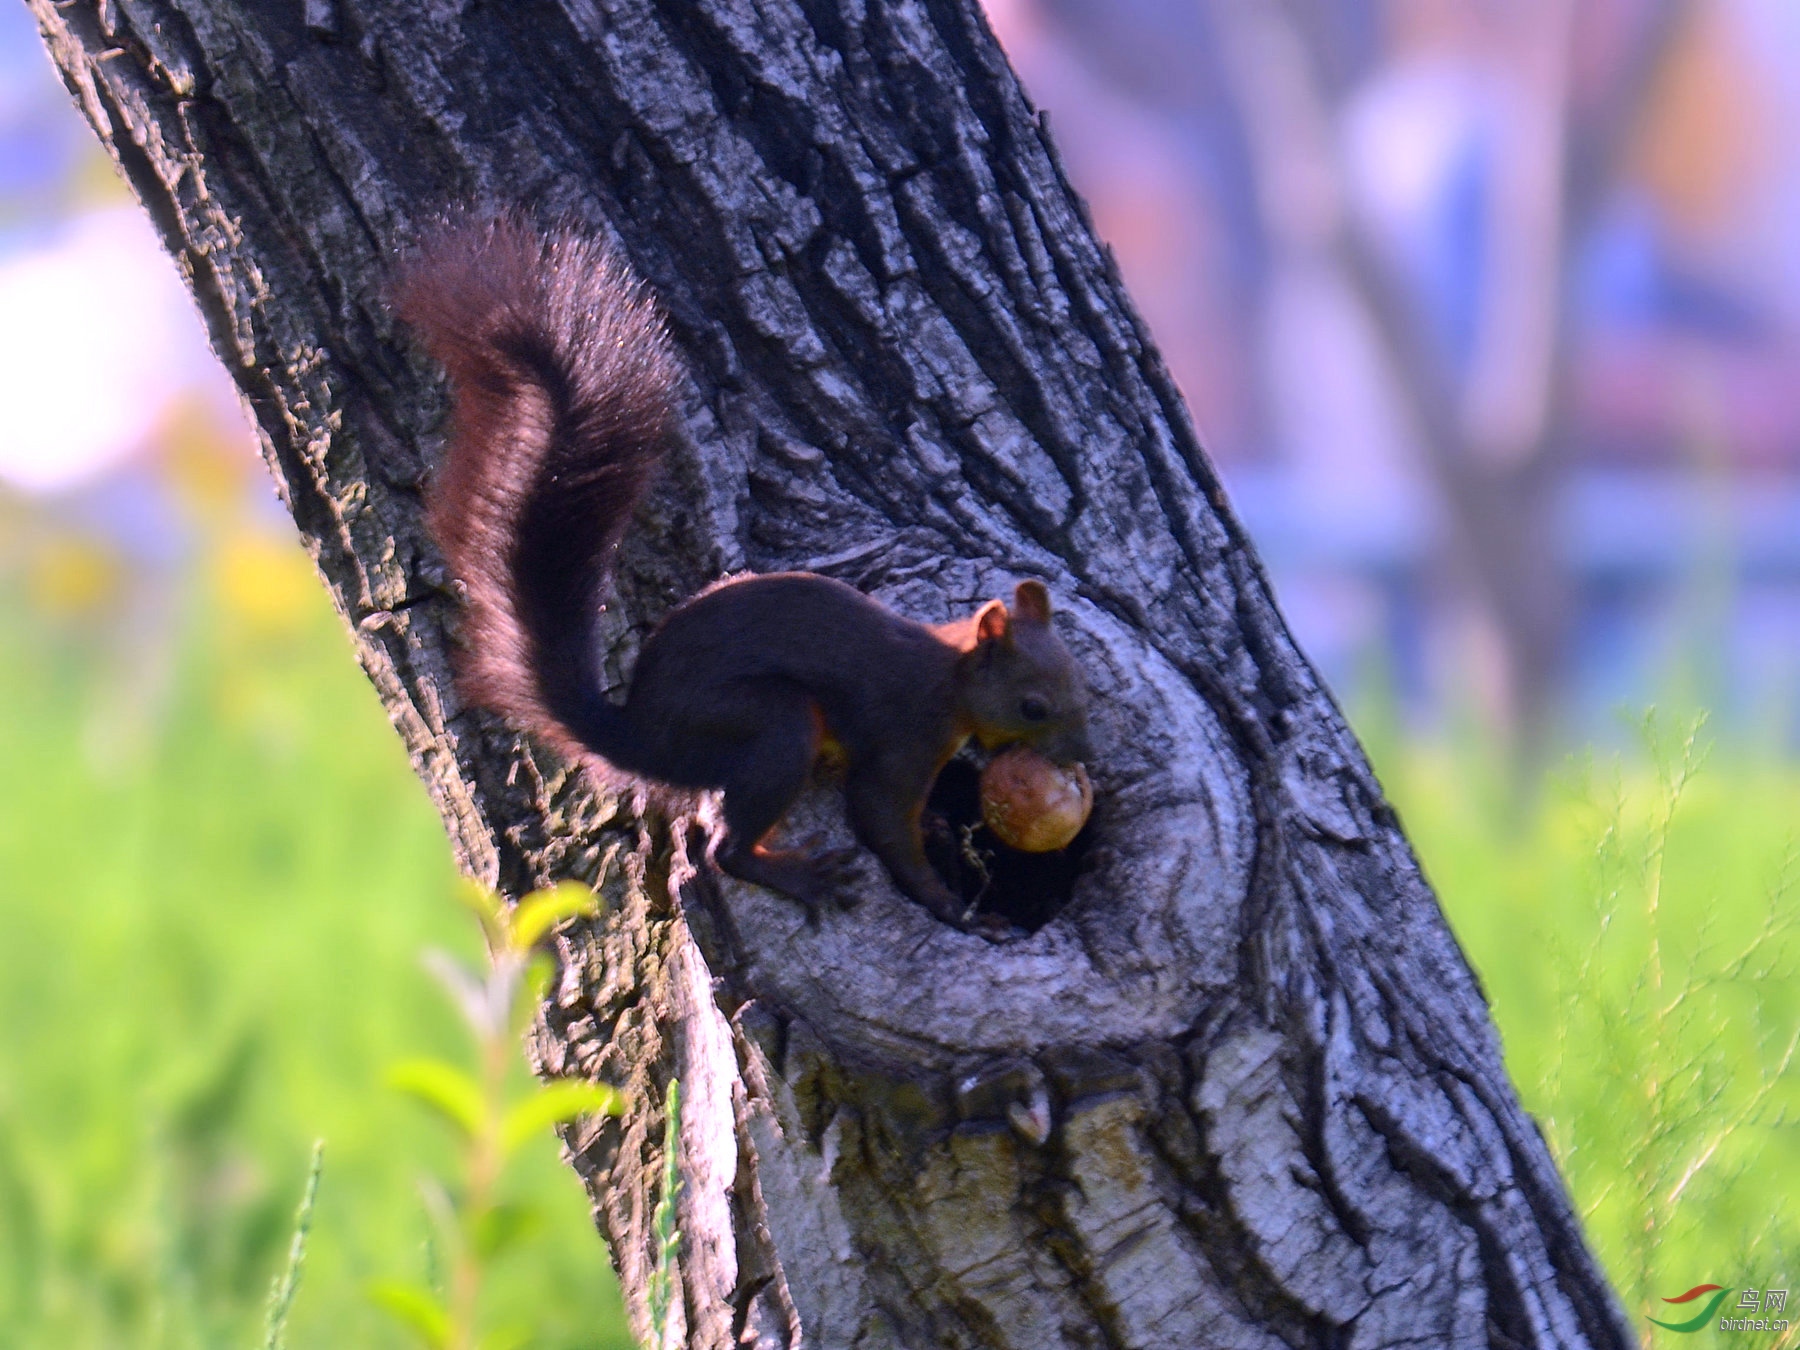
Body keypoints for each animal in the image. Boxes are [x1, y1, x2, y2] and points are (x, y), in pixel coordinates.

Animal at [399, 216, 1087, 928]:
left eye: (1082, 683)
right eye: (1033, 706)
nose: (1081, 757)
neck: (951, 675)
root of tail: (645, 738)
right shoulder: (907, 735)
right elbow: (881, 819)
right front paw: (945, 900)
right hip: (770, 725)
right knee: (726, 849)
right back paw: (798, 876)